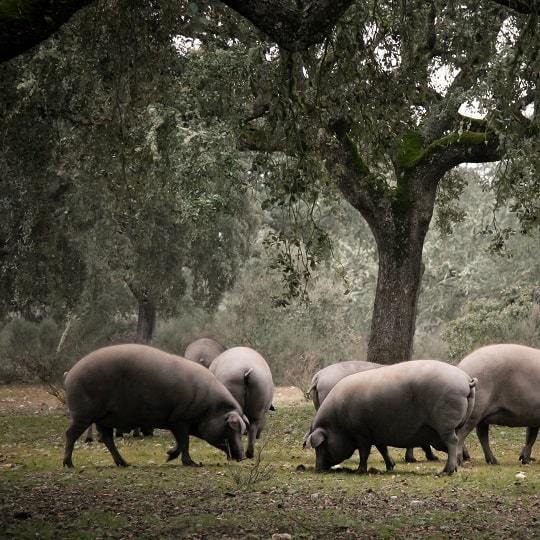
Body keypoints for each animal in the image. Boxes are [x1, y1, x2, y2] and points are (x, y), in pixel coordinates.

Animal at [62, 346, 247, 468]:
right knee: (70, 434)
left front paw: (169, 456)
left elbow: (182, 442)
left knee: (108, 439)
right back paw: (69, 465)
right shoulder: (180, 419)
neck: (210, 408)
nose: (243, 457)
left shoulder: (177, 422)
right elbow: (184, 442)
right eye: (232, 428)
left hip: (104, 418)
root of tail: (70, 374)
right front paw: (188, 462)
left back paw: (125, 464)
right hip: (83, 414)